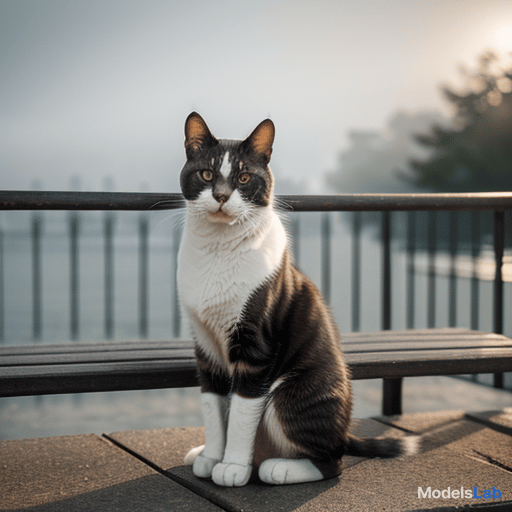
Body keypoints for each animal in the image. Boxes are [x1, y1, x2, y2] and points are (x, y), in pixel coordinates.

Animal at [176, 113, 416, 488]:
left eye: (243, 178)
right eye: (206, 174)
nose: (221, 196)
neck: (217, 248)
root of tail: (344, 432)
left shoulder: (256, 346)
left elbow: (242, 411)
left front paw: (232, 467)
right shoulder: (205, 344)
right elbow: (213, 408)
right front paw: (213, 456)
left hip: (292, 392)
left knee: (331, 461)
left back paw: (274, 467)